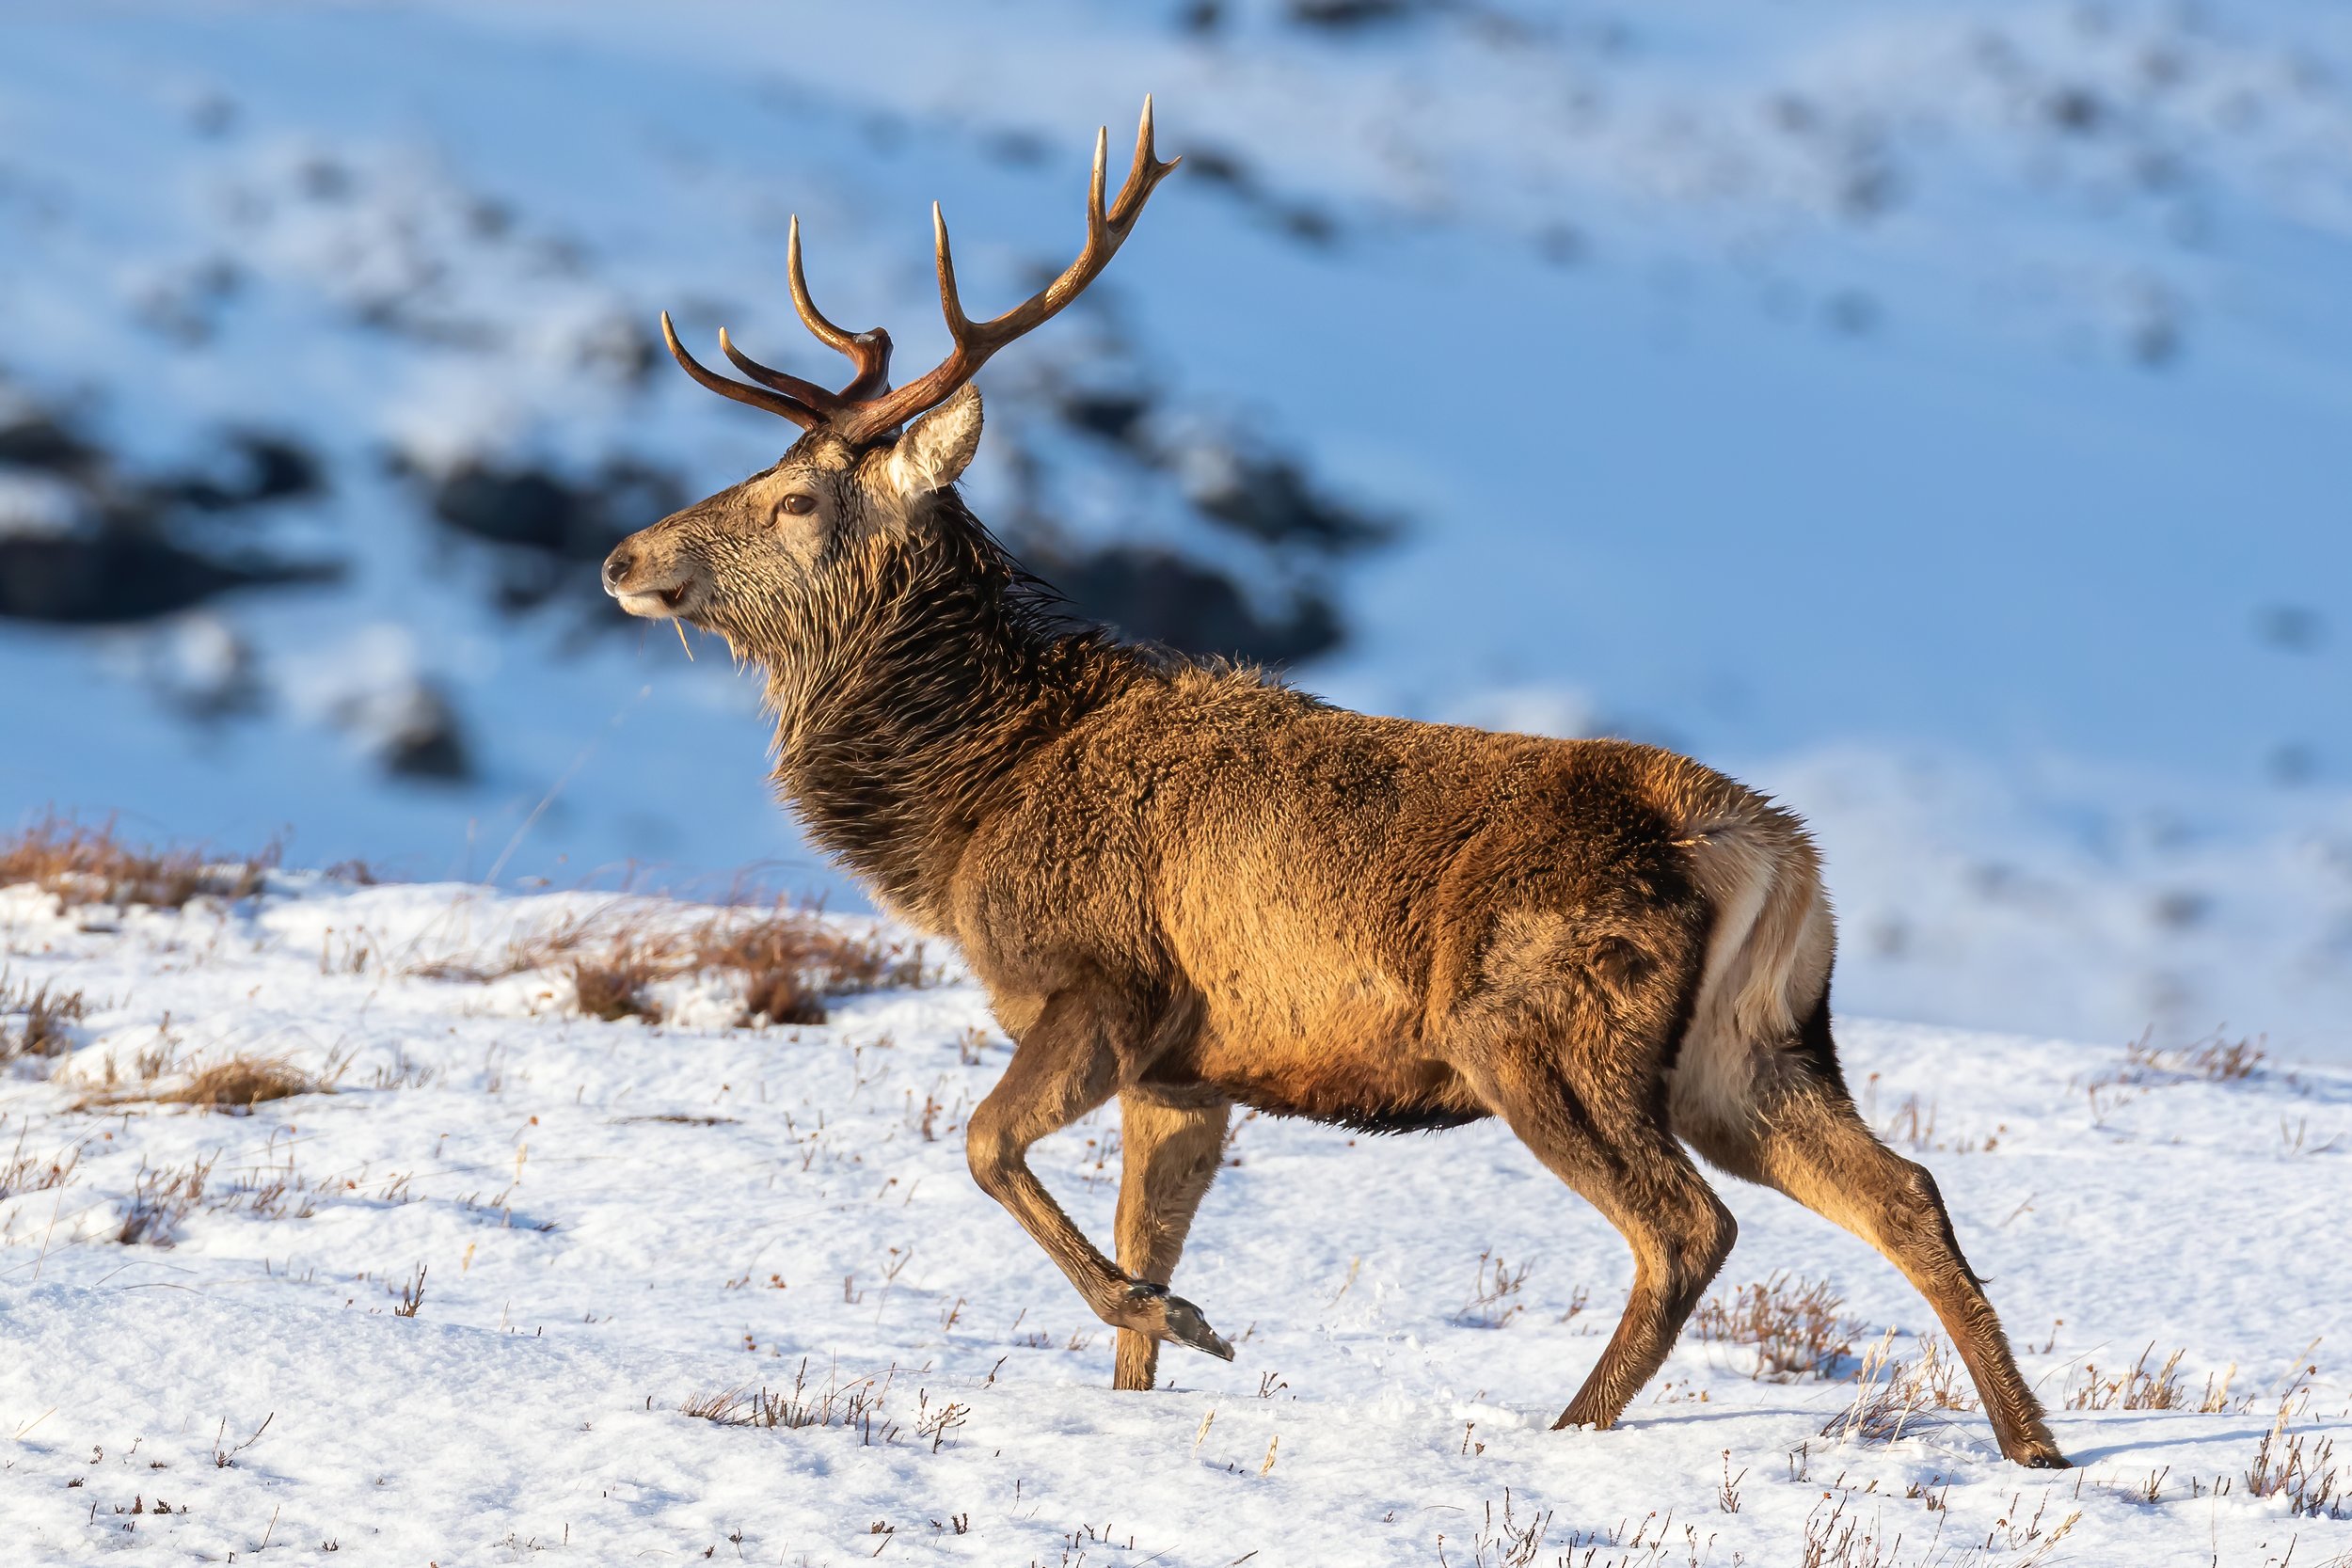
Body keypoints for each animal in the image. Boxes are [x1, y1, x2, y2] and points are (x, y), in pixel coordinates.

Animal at [601, 99, 2068, 1469]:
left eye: (798, 498)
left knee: (1687, 1222)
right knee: (1904, 1189)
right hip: (1760, 1043)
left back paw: (1568, 1428)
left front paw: (1191, 1321)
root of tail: (1759, 846)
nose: (623, 558)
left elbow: (985, 1147)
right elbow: (1140, 1253)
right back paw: (2033, 1443)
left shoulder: (1104, 977)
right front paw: (1147, 1359)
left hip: (1541, 1020)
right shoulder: (1192, 1064)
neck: (965, 808)